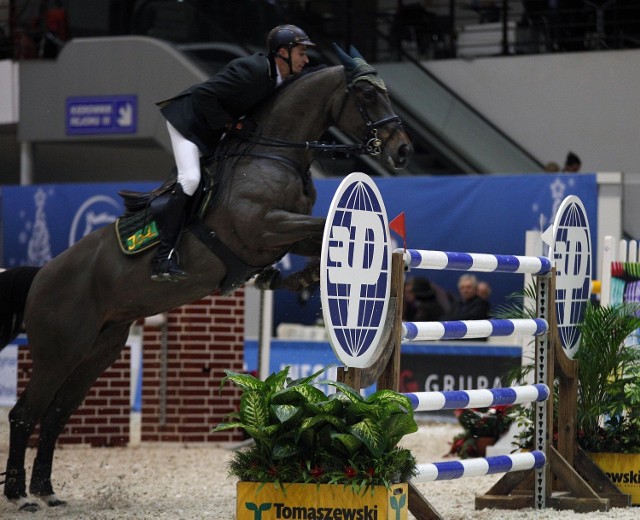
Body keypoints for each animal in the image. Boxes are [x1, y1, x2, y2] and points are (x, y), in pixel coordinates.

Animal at [0, 45, 412, 512]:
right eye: (366, 93)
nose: (402, 150)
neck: (275, 154)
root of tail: (41, 275)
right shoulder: (265, 227)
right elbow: (325, 226)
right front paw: (316, 273)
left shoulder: (281, 233)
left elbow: (316, 236)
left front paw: (297, 281)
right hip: (58, 352)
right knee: (24, 414)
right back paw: (19, 496)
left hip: (97, 351)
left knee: (54, 416)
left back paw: (46, 490)